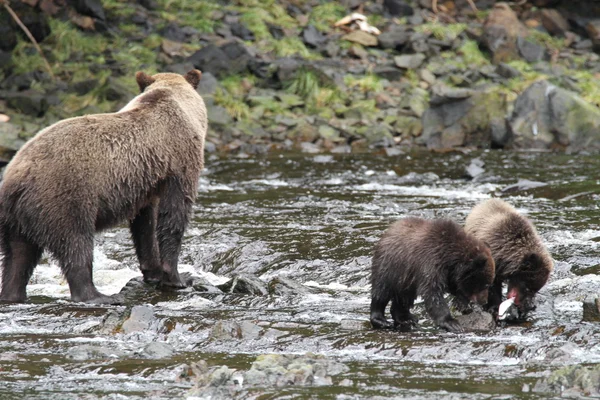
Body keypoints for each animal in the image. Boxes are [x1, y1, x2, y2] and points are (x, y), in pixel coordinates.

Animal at [0, 70, 206, 304]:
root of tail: (17, 177)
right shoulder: (179, 162)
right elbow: (174, 215)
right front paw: (178, 277)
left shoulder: (147, 181)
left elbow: (146, 224)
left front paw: (153, 271)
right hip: (64, 195)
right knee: (76, 242)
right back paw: (97, 295)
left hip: (17, 218)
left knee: (18, 256)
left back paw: (12, 294)